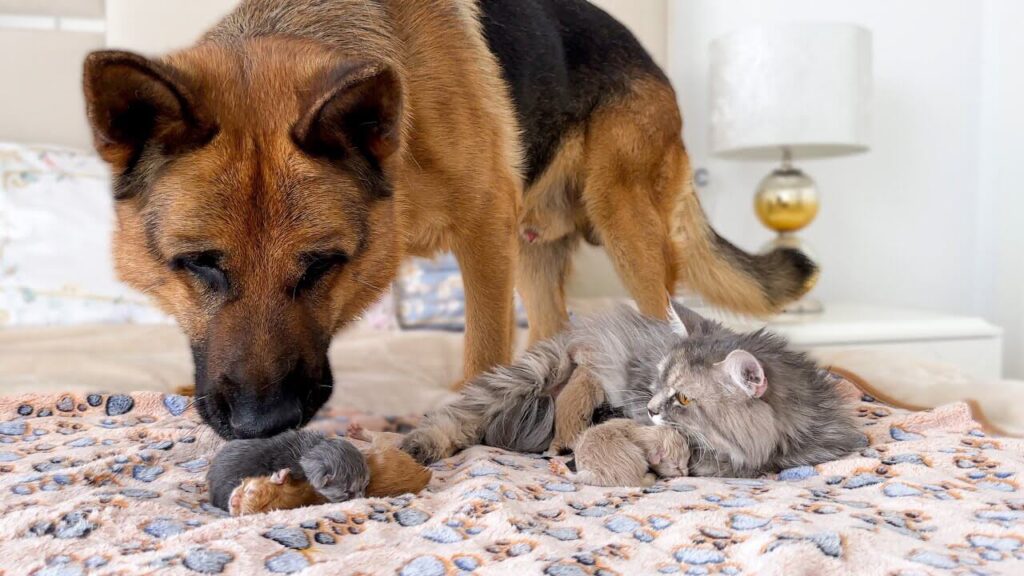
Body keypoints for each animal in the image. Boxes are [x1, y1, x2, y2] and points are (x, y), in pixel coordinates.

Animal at [82, 0, 815, 440]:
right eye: (199, 265)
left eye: (322, 266)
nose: (266, 425)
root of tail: (649, 57)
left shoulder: (485, 231)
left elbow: (483, 343)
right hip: (537, 251)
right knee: (555, 330)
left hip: (624, 225)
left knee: (660, 318)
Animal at [401, 301, 864, 479]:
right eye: (659, 383)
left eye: (683, 398)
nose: (652, 405)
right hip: (529, 373)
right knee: (456, 416)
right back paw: (415, 448)